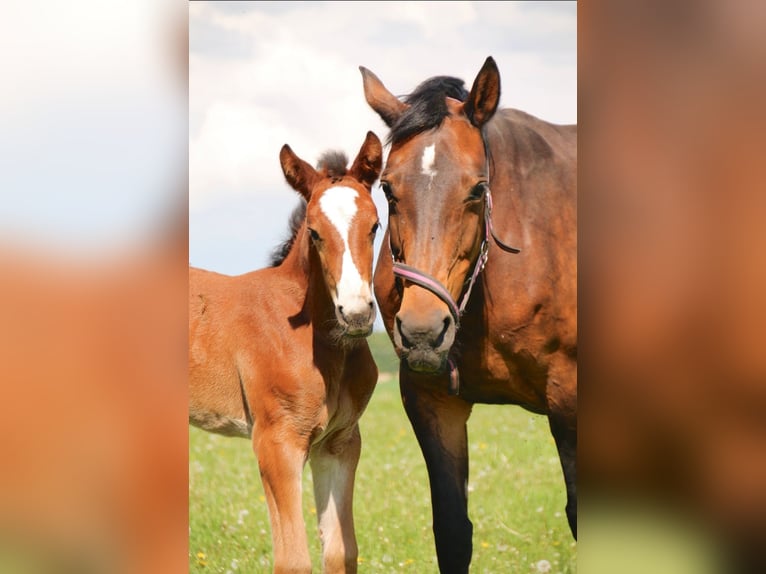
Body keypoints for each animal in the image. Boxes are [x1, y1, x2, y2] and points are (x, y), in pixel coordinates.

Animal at [188, 131, 383, 574]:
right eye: (314, 232)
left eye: (375, 225)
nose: (357, 313)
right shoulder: (277, 441)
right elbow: (293, 559)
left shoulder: (339, 443)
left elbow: (341, 551)